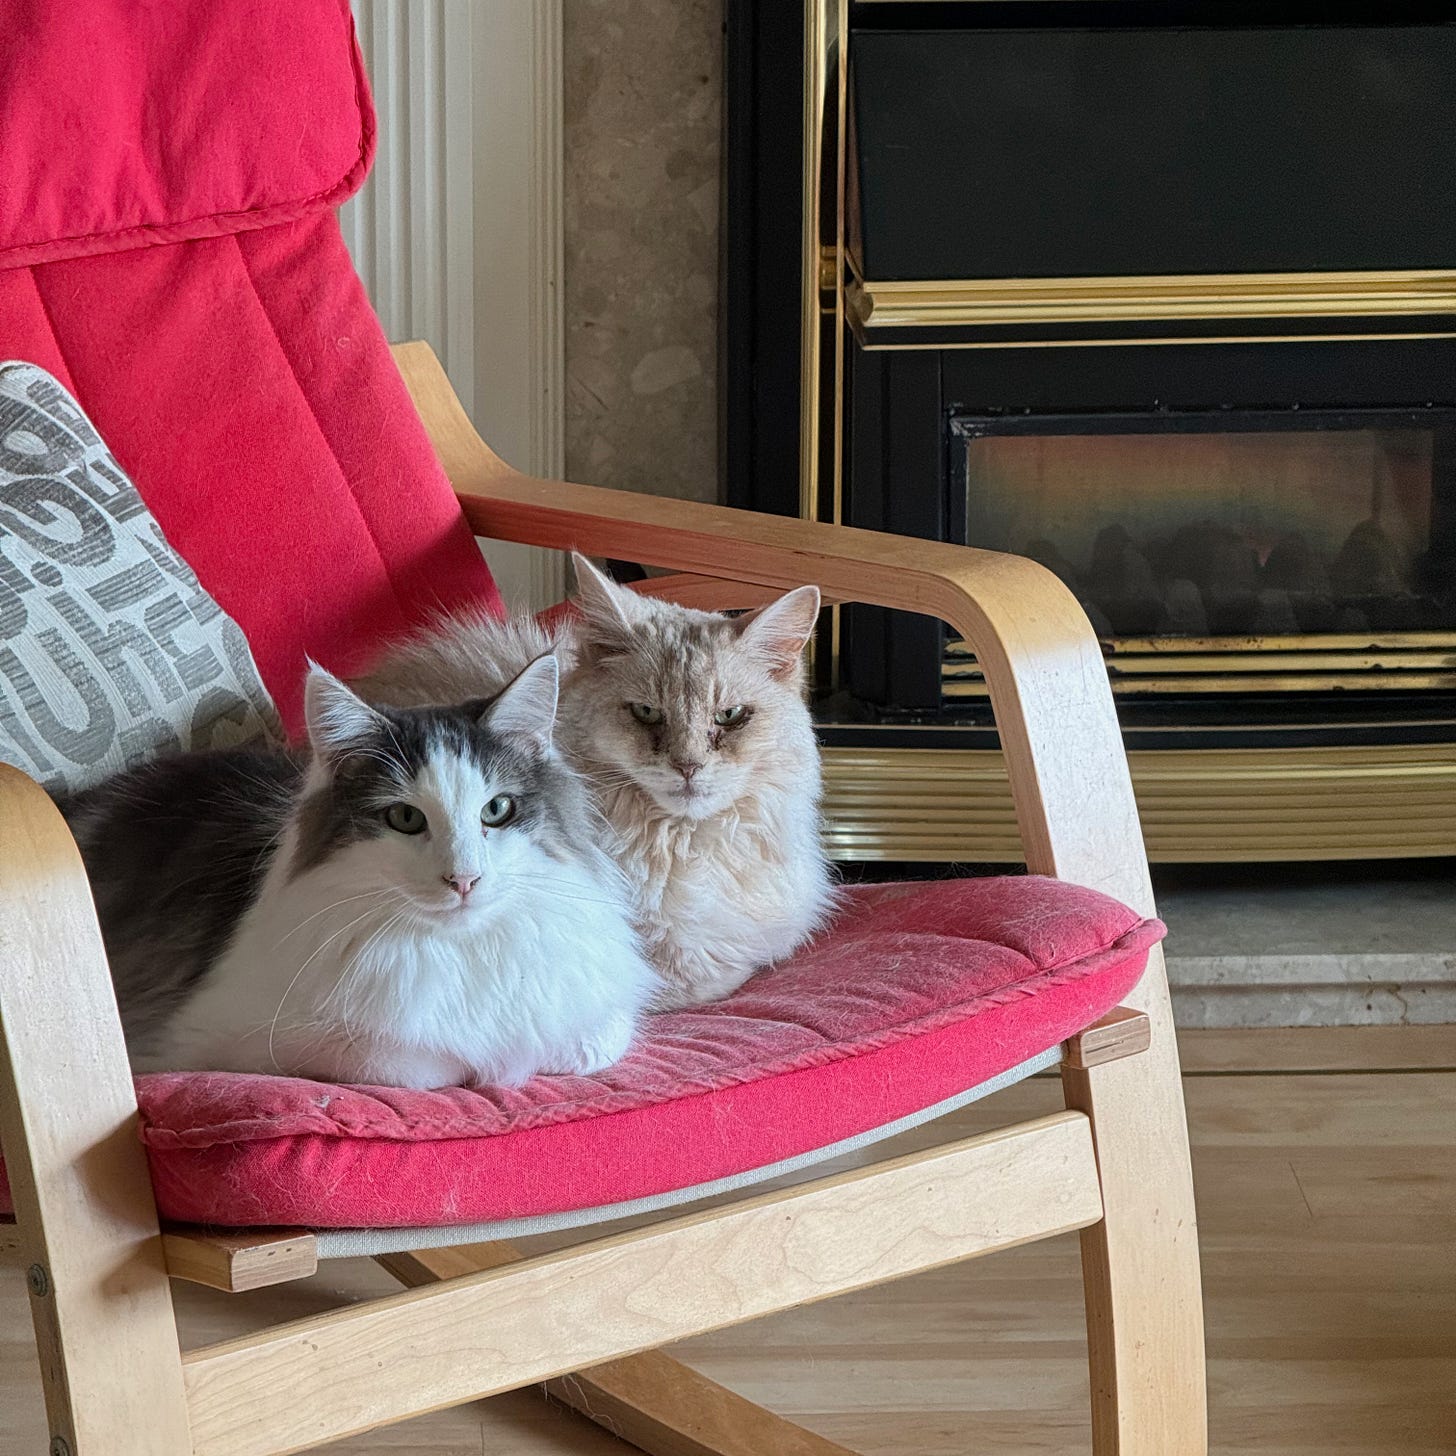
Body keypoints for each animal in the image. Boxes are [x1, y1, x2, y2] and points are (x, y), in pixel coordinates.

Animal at [61, 655, 655, 1089]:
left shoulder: (593, 1015)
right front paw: (486, 1066)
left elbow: (589, 1040)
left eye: (496, 810)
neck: (457, 949)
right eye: (405, 819)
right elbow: (418, 1060)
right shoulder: (212, 1037)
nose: (464, 881)